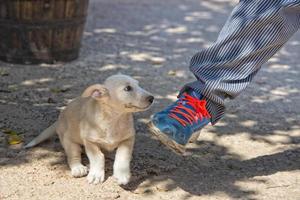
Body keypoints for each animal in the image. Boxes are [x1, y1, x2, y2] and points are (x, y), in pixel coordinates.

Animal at [25, 74, 155, 184]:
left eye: (138, 85)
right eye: (128, 88)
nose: (152, 98)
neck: (113, 119)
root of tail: (58, 121)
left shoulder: (128, 139)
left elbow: (122, 156)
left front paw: (122, 174)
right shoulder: (90, 142)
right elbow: (97, 157)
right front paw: (96, 174)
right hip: (69, 142)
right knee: (73, 156)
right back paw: (78, 168)